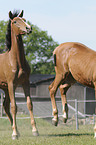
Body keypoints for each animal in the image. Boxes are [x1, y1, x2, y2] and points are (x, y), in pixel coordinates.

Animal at [0, 10, 38, 139]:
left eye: (24, 19)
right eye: (15, 21)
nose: (29, 28)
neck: (16, 60)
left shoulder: (25, 82)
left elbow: (29, 104)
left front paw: (35, 130)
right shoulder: (11, 84)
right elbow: (14, 107)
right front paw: (14, 134)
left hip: (5, 88)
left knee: (5, 106)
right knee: (8, 106)